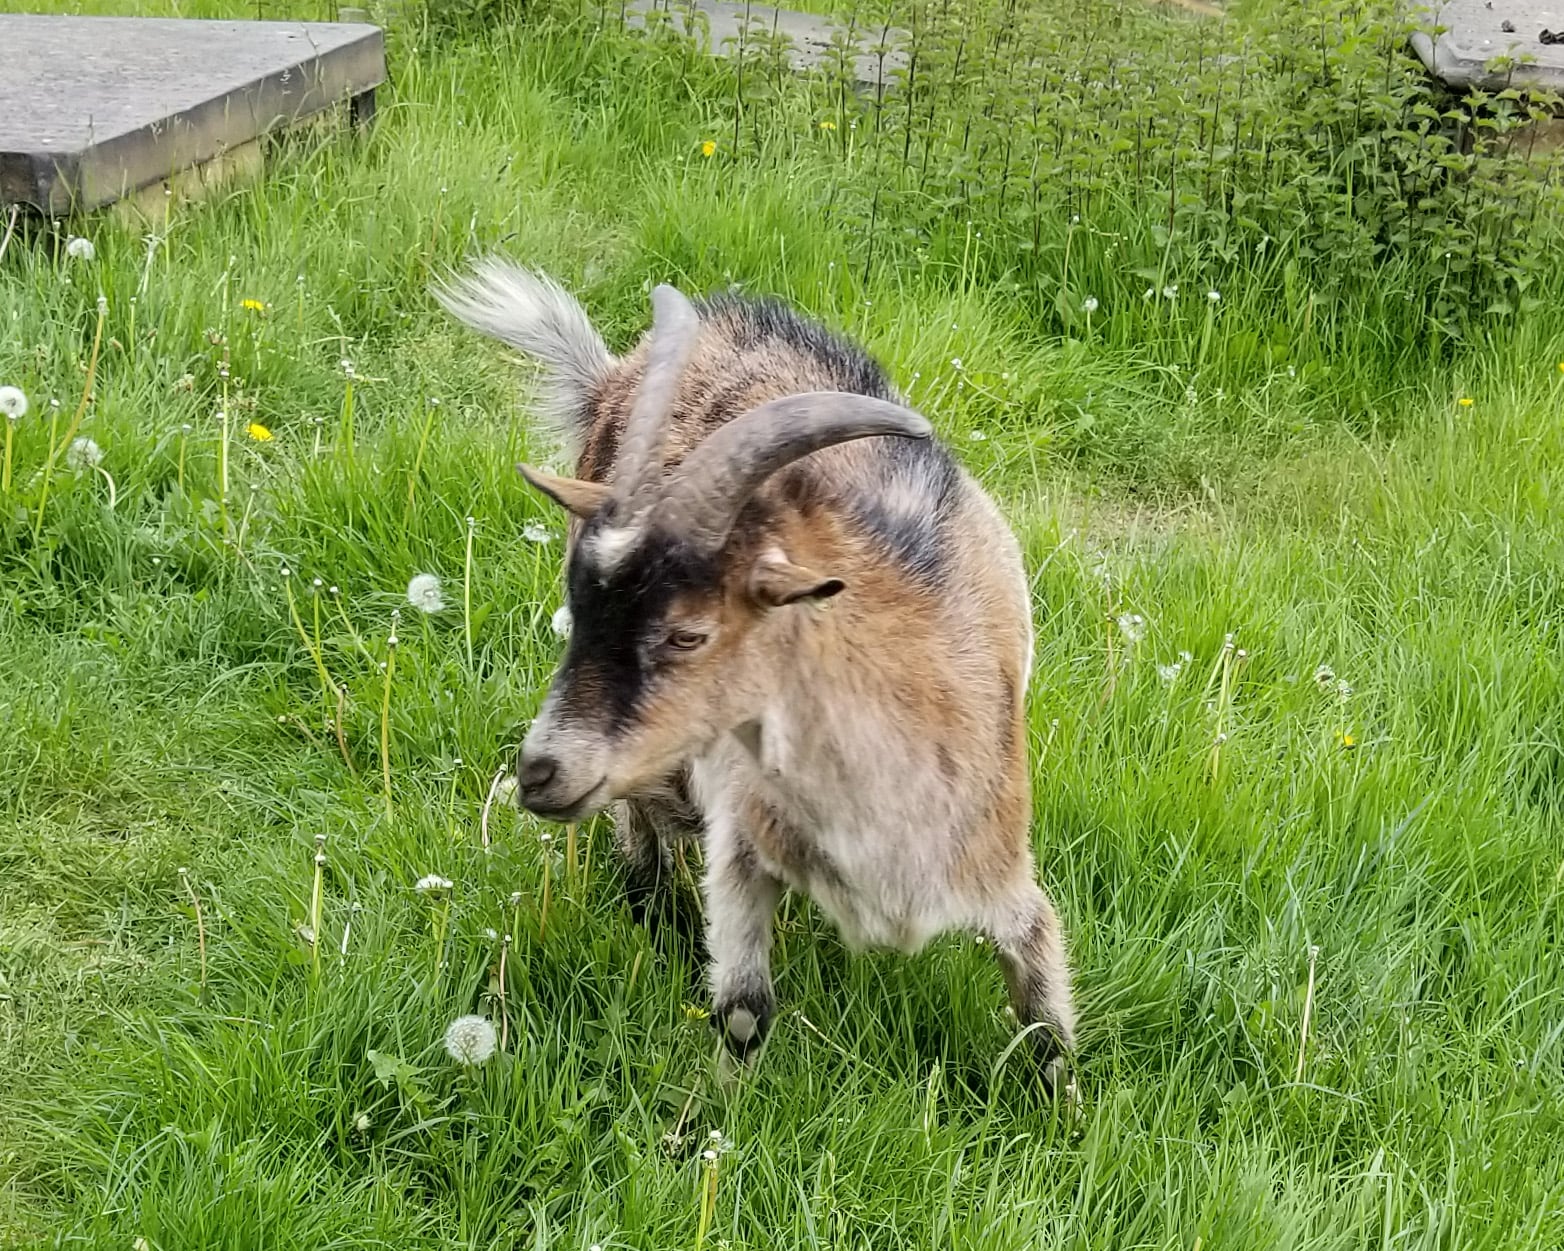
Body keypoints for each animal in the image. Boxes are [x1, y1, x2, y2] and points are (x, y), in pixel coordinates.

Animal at [436, 262, 1078, 1090]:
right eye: (579, 611)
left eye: (688, 633)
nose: (539, 773)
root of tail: (617, 372)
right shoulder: (741, 846)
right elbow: (743, 1009)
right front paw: (716, 1113)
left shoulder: (998, 870)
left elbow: (1046, 1016)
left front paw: (1067, 1112)